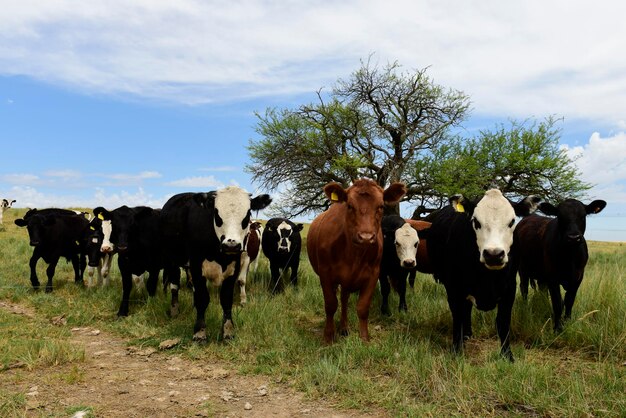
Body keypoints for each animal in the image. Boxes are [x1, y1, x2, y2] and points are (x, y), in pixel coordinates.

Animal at [157, 186, 270, 340]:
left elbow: (227, 298)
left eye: (247, 215)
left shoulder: (235, 266)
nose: (231, 245)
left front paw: (228, 331)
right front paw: (199, 332)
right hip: (171, 260)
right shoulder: (196, 266)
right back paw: (175, 311)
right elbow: (202, 298)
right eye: (217, 215)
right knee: (174, 286)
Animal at [306, 178, 404, 344]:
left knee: (344, 299)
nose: (366, 237)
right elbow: (330, 305)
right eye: (350, 205)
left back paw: (344, 328)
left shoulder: (373, 275)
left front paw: (364, 338)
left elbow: (363, 307)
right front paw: (328, 337)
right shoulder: (325, 273)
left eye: (381, 206)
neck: (354, 255)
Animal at [424, 189, 540, 360]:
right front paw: (456, 351)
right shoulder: (454, 288)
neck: (487, 277)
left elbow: (503, 322)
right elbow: (457, 318)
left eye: (512, 222)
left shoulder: (510, 288)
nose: (493, 254)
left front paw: (507, 355)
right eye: (476, 221)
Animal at [512, 198, 604, 332]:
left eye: (583, 216)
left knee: (542, 290)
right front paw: (557, 328)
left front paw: (568, 322)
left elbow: (569, 301)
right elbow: (557, 303)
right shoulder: (553, 278)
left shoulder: (578, 278)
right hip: (522, 269)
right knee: (524, 289)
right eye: (560, 216)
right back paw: (525, 308)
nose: (573, 237)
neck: (570, 258)